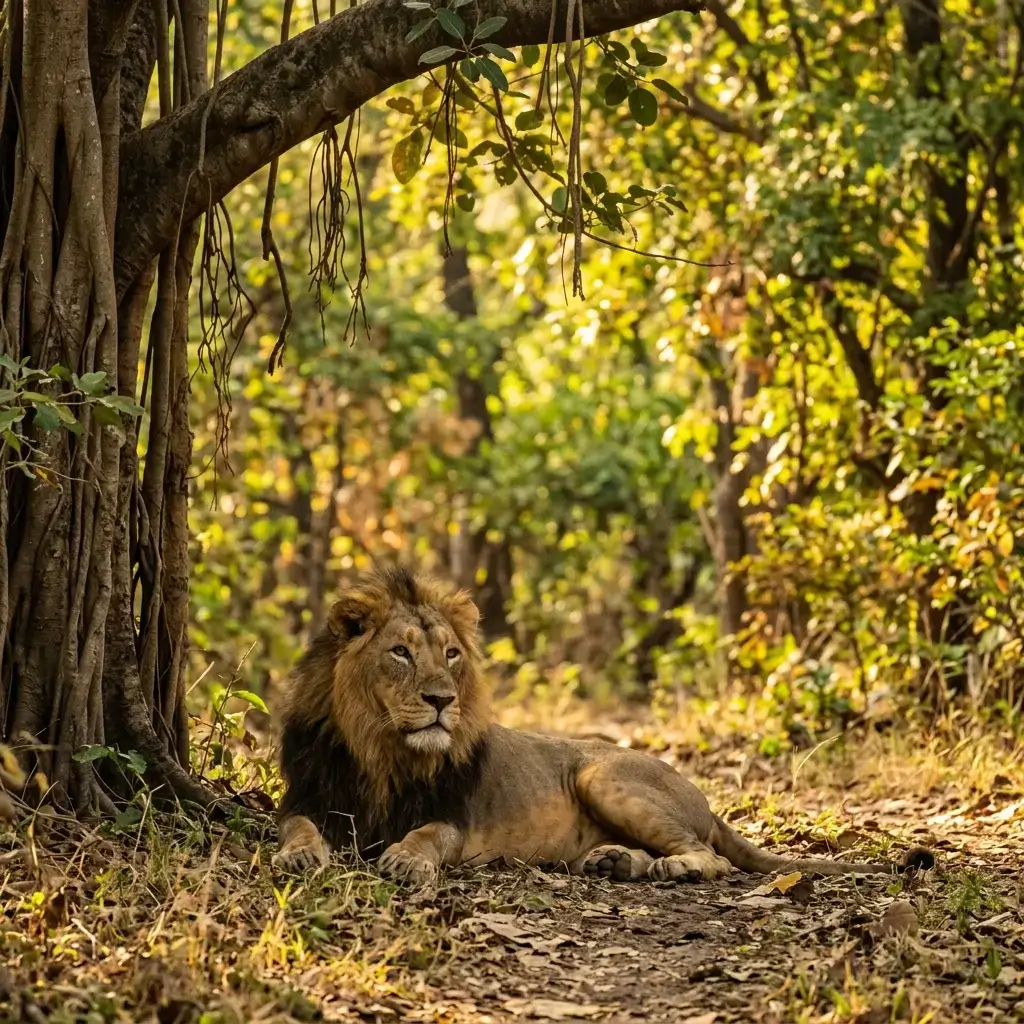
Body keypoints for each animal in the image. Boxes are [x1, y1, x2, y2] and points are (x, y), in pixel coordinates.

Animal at [273, 568, 934, 886]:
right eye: (401, 653)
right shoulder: (307, 797)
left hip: (604, 777)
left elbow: (426, 837)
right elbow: (298, 828)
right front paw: (301, 857)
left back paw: (671, 868)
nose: (442, 700)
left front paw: (407, 862)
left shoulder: (451, 817)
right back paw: (615, 863)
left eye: (451, 655)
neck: (381, 749)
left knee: (709, 856)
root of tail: (702, 795)